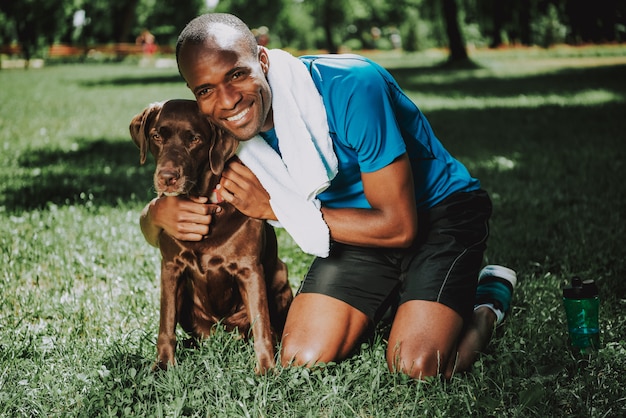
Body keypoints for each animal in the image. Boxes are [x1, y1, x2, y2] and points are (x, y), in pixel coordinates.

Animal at [129, 99, 292, 374]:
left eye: (195, 139)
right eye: (156, 136)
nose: (167, 178)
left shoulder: (249, 270)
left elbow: (261, 324)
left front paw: (266, 369)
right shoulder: (171, 268)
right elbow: (166, 324)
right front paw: (163, 365)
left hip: (280, 277)